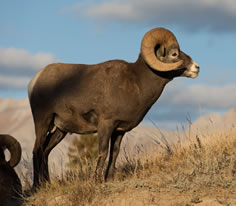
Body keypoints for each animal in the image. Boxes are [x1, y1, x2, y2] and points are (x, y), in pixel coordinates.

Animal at [28, 27, 200, 188]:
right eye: (174, 54)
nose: (196, 68)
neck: (137, 83)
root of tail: (35, 80)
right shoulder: (106, 124)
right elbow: (103, 152)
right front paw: (97, 181)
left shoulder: (119, 130)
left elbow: (114, 153)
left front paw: (108, 179)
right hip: (43, 122)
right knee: (37, 150)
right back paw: (36, 187)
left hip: (60, 130)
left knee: (46, 151)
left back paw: (47, 184)